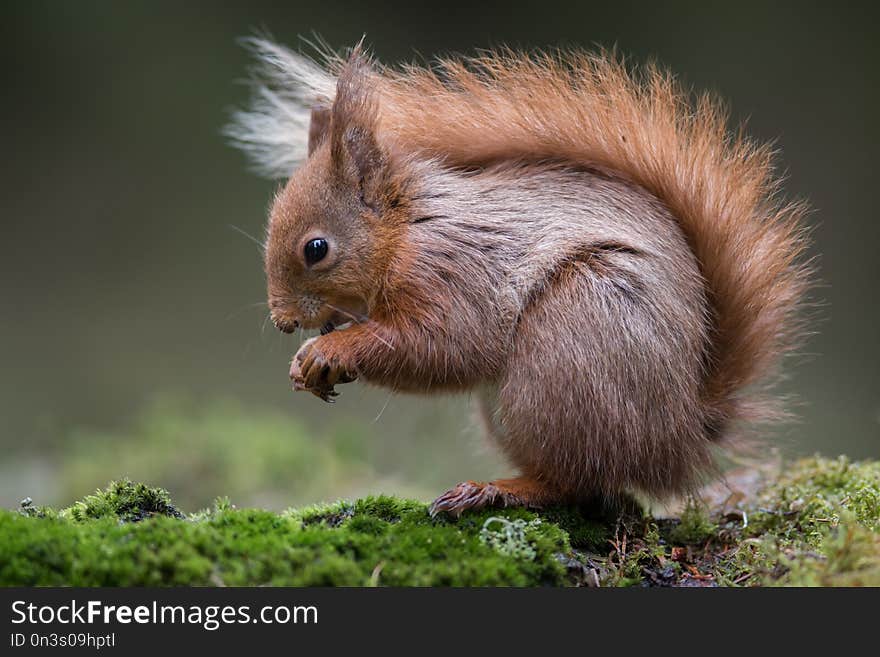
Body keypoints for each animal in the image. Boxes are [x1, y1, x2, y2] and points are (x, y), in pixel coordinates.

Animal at [229, 39, 812, 516]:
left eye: (316, 249)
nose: (283, 322)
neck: (405, 230)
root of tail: (681, 434)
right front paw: (310, 365)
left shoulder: (452, 272)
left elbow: (444, 345)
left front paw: (329, 350)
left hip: (564, 353)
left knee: (579, 482)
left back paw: (495, 490)